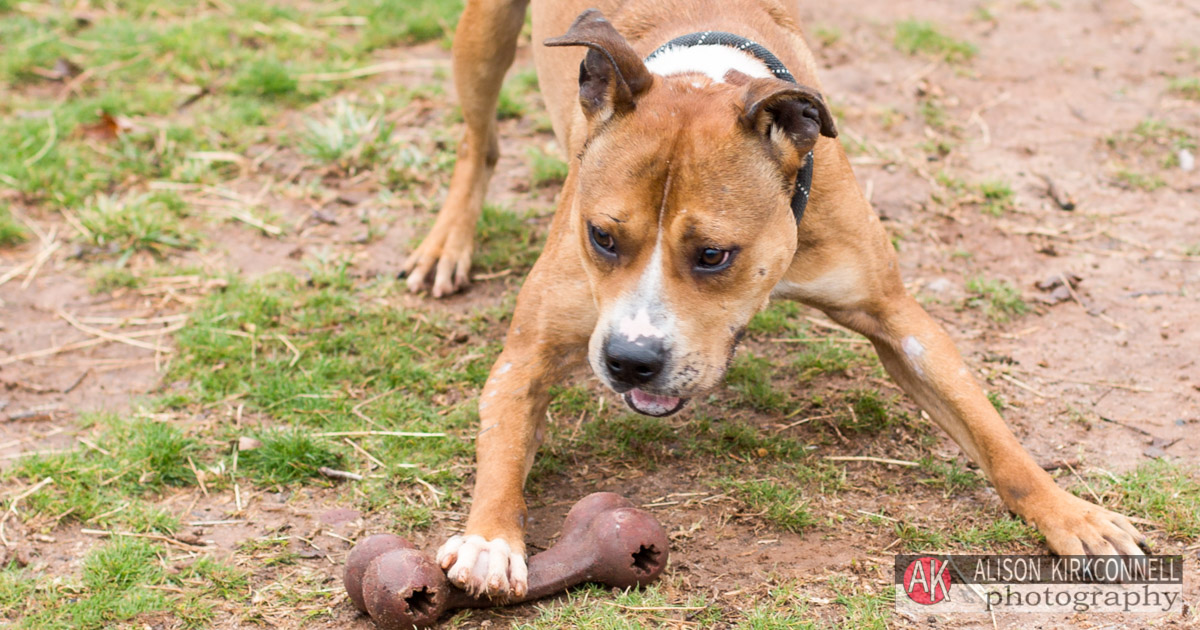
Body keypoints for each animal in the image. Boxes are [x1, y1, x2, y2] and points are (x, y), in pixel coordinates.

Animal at [405, 1, 1152, 600]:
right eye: (602, 237)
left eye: (713, 254)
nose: (630, 362)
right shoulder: (528, 354)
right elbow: (503, 447)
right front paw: (490, 541)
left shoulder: (898, 318)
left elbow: (992, 432)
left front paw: (1073, 515)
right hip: (482, 40)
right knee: (480, 140)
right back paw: (446, 243)